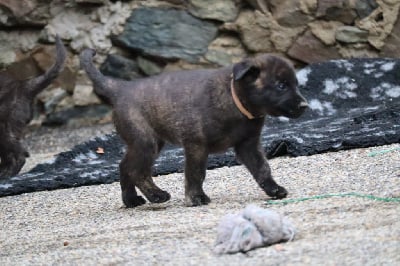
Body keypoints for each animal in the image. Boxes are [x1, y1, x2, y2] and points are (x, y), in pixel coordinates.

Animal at [79, 50, 308, 208]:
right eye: (281, 86)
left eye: (296, 84)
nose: (305, 106)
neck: (235, 101)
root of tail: (121, 88)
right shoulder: (196, 145)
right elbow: (196, 173)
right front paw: (195, 197)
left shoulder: (248, 145)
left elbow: (262, 168)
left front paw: (273, 189)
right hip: (145, 142)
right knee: (137, 171)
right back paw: (156, 195)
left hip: (146, 143)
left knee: (125, 166)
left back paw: (131, 200)